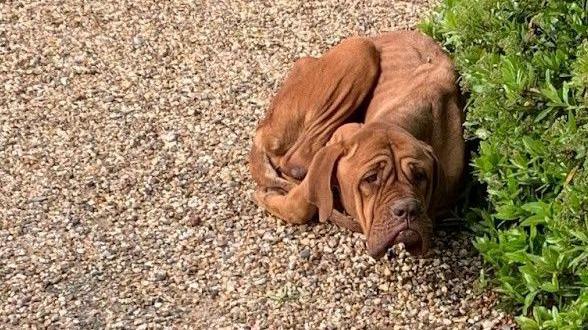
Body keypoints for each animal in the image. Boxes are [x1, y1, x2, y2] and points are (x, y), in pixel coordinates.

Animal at [253, 31, 464, 258]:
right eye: (370, 178)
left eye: (420, 176)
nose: (407, 209)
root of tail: (262, 129)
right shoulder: (340, 138)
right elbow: (299, 204)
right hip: (360, 49)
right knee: (296, 162)